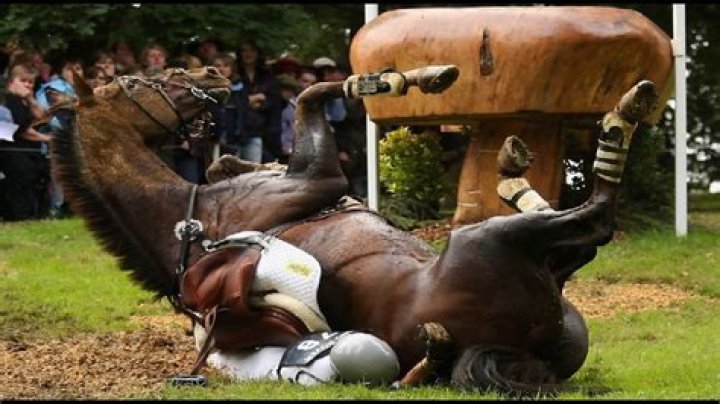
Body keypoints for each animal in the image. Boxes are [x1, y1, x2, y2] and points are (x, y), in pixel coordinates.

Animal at [51, 64, 659, 396]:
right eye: (131, 83)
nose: (212, 76)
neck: (191, 217)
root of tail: (511, 350)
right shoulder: (321, 174)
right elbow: (311, 94)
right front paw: (412, 77)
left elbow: (286, 115)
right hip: (489, 242)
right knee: (595, 222)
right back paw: (621, 113)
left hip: (558, 296)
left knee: (570, 238)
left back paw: (517, 174)